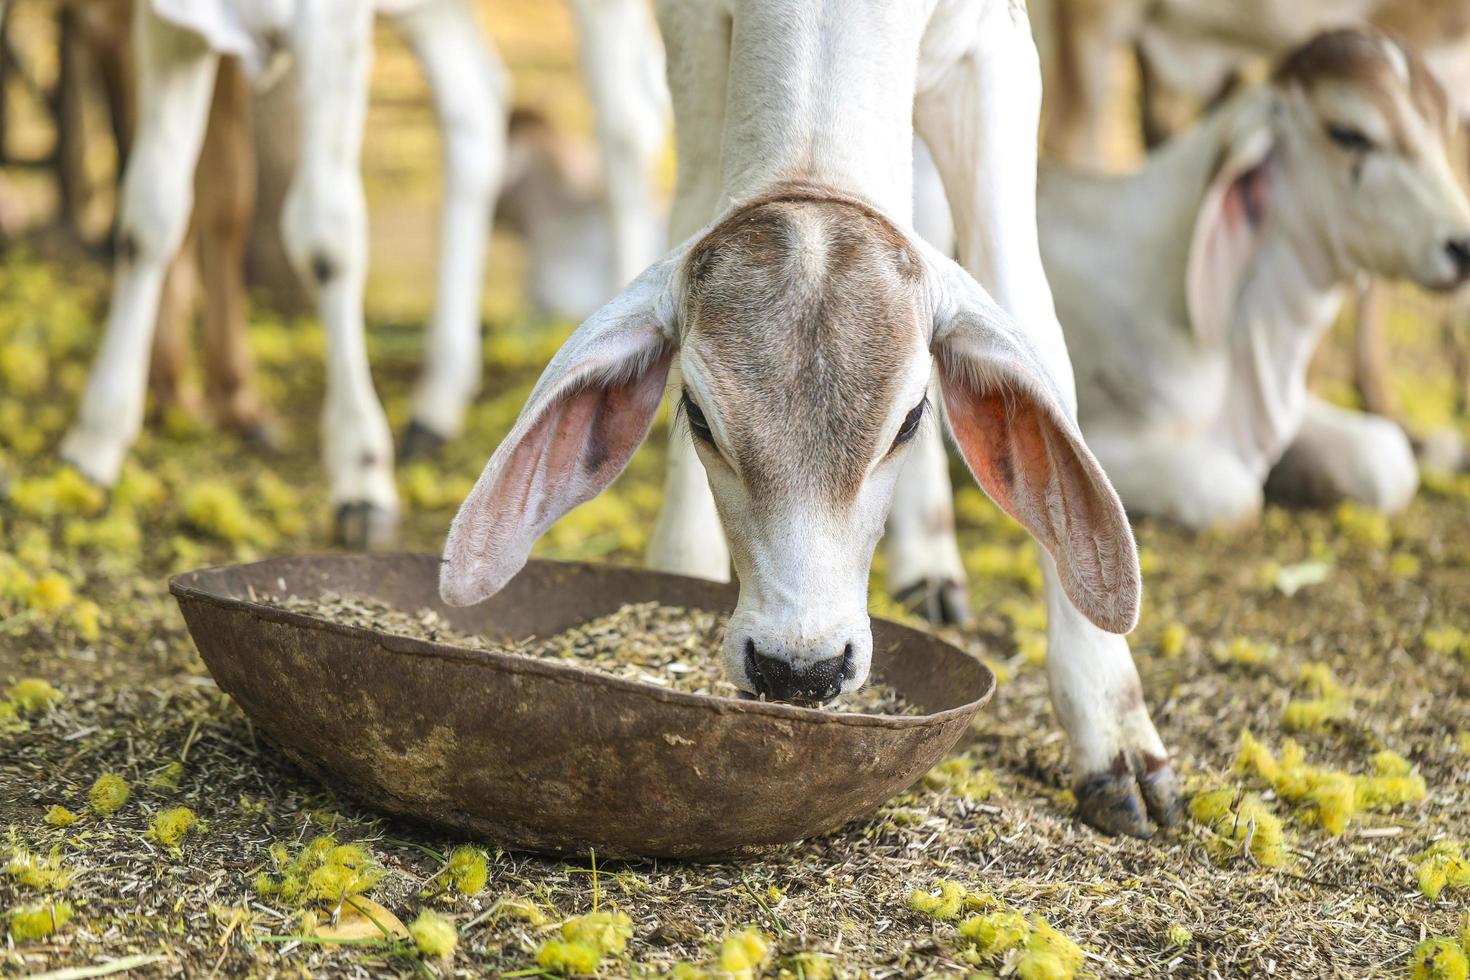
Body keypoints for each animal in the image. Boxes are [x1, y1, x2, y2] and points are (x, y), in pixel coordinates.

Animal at [438, 0, 1181, 840]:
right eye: (698, 417)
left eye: (911, 420)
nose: (801, 669)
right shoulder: (691, 38)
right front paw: (678, 578)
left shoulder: (993, 53)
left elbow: (1033, 321)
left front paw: (1114, 736)